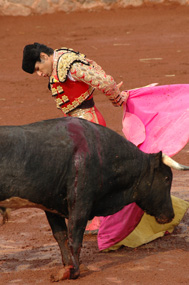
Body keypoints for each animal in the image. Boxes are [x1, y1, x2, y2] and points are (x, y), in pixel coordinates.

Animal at [0, 116, 188, 280]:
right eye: (167, 179)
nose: (170, 215)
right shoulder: (81, 202)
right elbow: (74, 237)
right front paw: (74, 272)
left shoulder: (51, 205)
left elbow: (61, 236)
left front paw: (67, 269)